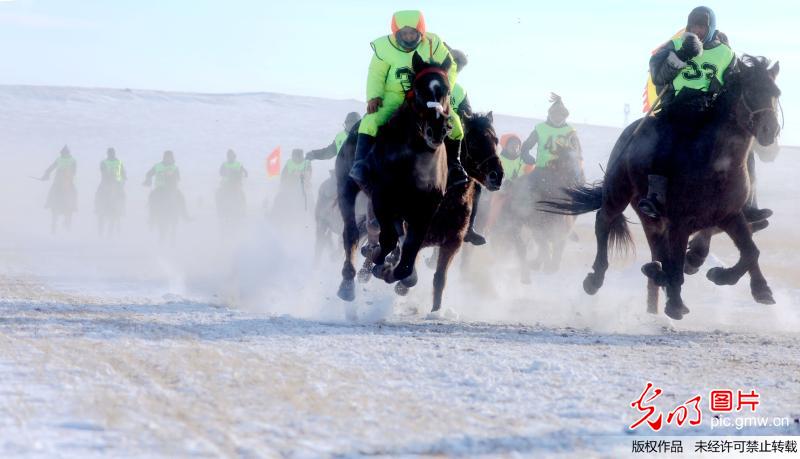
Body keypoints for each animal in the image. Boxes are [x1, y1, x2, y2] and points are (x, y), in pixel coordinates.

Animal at [544, 55, 780, 322]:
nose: (770, 131)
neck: (716, 164)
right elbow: (676, 264)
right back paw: (596, 279)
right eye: (751, 91)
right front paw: (675, 303)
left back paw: (656, 273)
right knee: (604, 221)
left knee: (658, 249)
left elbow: (751, 252)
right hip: (618, 192)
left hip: (651, 218)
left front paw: (750, 286)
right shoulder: (681, 222)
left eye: (776, 93)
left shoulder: (730, 216)